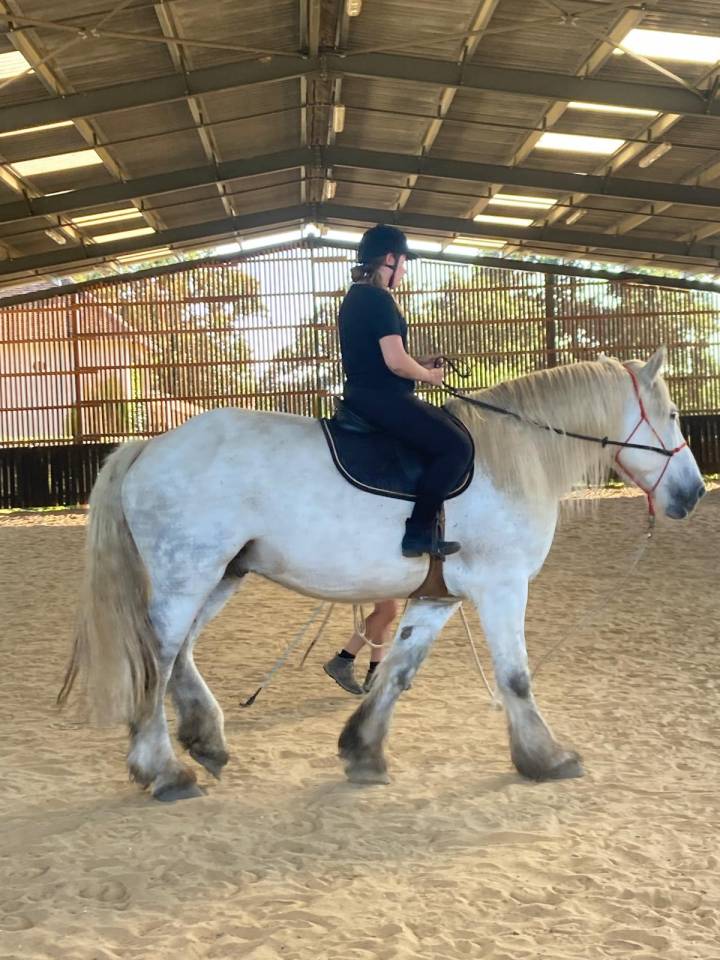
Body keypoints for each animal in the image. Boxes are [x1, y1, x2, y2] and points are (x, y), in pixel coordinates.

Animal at [58, 348, 705, 801]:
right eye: (672, 415)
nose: (694, 493)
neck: (512, 456)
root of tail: (149, 446)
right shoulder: (501, 588)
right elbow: (516, 678)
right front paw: (547, 759)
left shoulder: (438, 598)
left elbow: (396, 672)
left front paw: (362, 752)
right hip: (186, 576)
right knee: (158, 659)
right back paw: (164, 771)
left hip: (220, 576)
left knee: (181, 656)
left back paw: (206, 742)